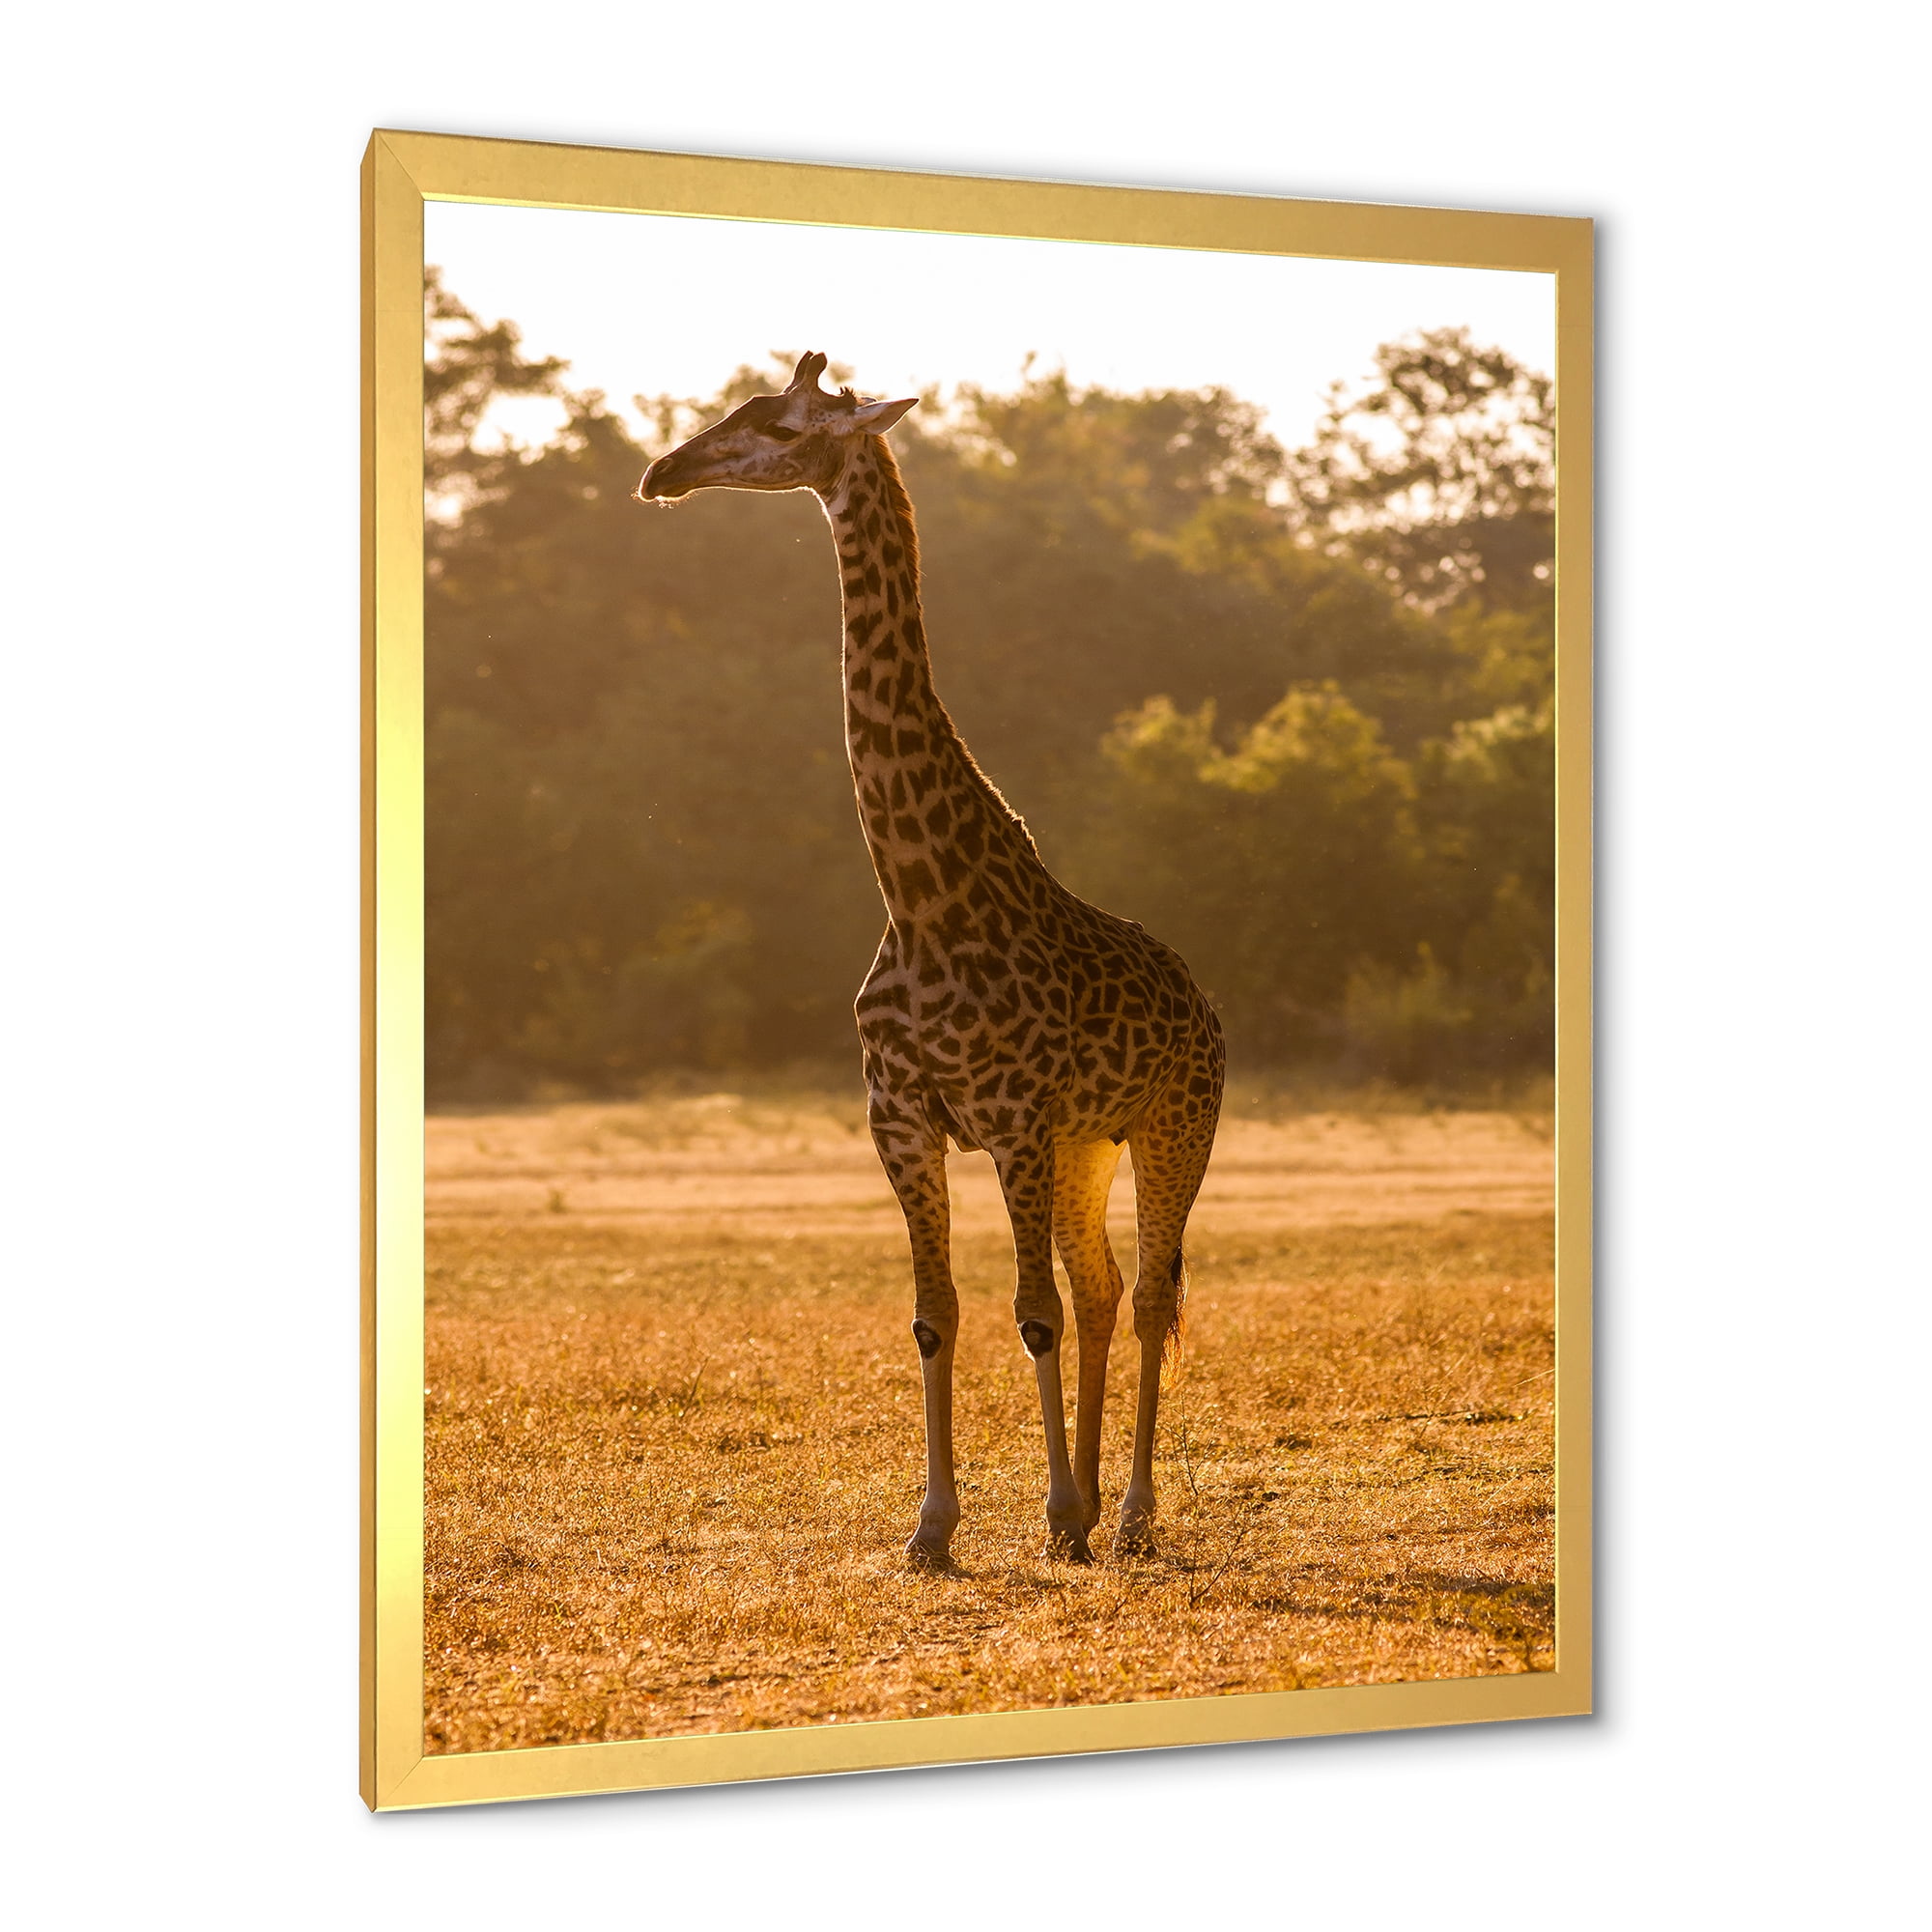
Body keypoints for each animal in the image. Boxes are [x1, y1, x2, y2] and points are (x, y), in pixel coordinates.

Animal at [637, 353, 1224, 1566]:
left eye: (778, 425)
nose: (662, 470)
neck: (919, 898)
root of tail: (1204, 1002)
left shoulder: (1008, 1120)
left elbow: (1027, 1314)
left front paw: (1052, 1511)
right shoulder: (903, 1122)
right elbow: (936, 1312)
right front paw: (936, 1527)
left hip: (1170, 1124)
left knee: (1147, 1293)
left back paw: (1128, 1512)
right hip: (1086, 1144)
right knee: (1100, 1288)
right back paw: (1093, 1499)